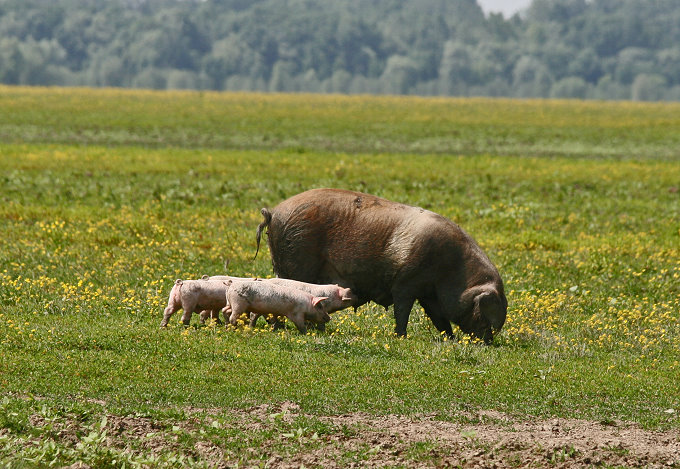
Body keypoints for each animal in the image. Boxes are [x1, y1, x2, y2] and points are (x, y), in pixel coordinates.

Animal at [255, 188, 504, 342]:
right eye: (485, 317)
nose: (487, 342)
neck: (451, 269)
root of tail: (273, 213)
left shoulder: (429, 294)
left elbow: (439, 318)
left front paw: (449, 339)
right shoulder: (406, 282)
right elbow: (402, 310)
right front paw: (401, 337)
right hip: (295, 262)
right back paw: (282, 329)